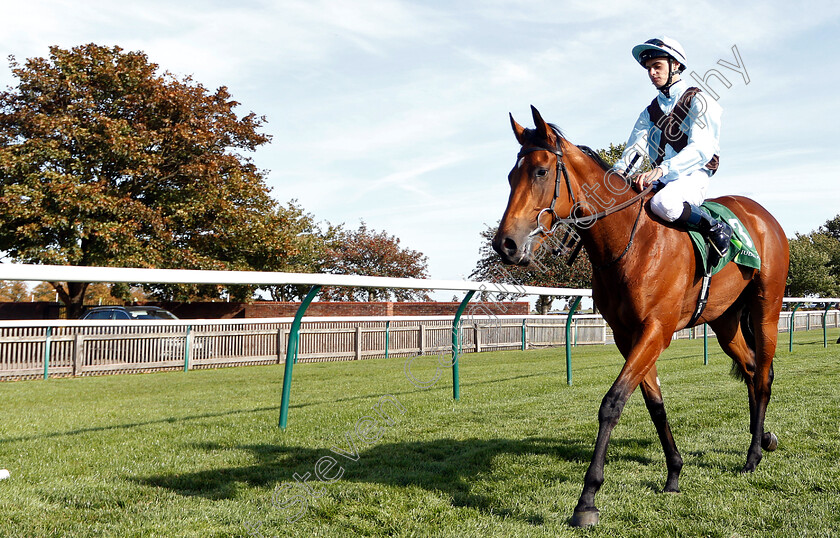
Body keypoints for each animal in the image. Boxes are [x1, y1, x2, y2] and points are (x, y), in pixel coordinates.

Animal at [492, 107, 788, 524]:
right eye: (510, 175)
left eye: (540, 171)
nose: (505, 244)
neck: (631, 245)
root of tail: (763, 216)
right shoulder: (626, 334)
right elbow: (654, 405)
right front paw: (674, 473)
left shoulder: (656, 330)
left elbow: (612, 403)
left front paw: (587, 500)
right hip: (725, 321)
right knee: (748, 368)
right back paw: (762, 437)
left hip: (767, 309)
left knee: (762, 375)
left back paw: (753, 456)